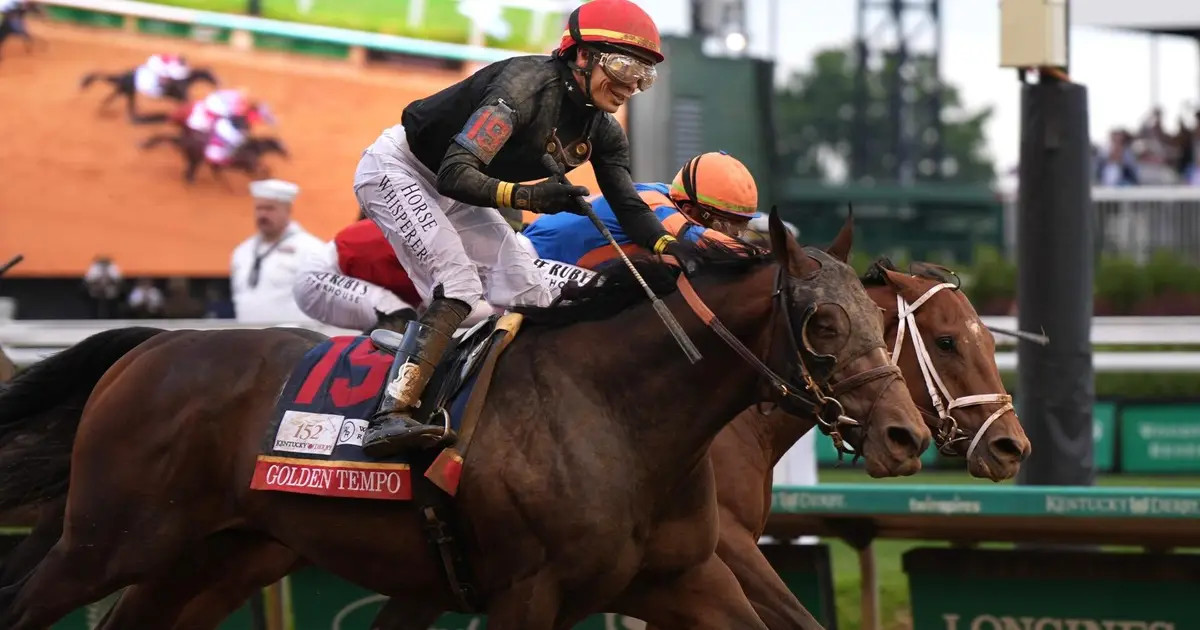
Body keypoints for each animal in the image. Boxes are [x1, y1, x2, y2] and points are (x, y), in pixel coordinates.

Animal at [0, 211, 932, 630]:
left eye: (877, 320)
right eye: (823, 324)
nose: (907, 437)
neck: (619, 414)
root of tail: (154, 347)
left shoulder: (683, 578)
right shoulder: (526, 592)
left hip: (212, 555)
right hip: (107, 540)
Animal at [78, 67, 219, 124]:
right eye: (211, 75)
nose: (218, 82)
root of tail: (124, 75)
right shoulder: (180, 96)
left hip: (124, 90)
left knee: (112, 97)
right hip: (128, 91)